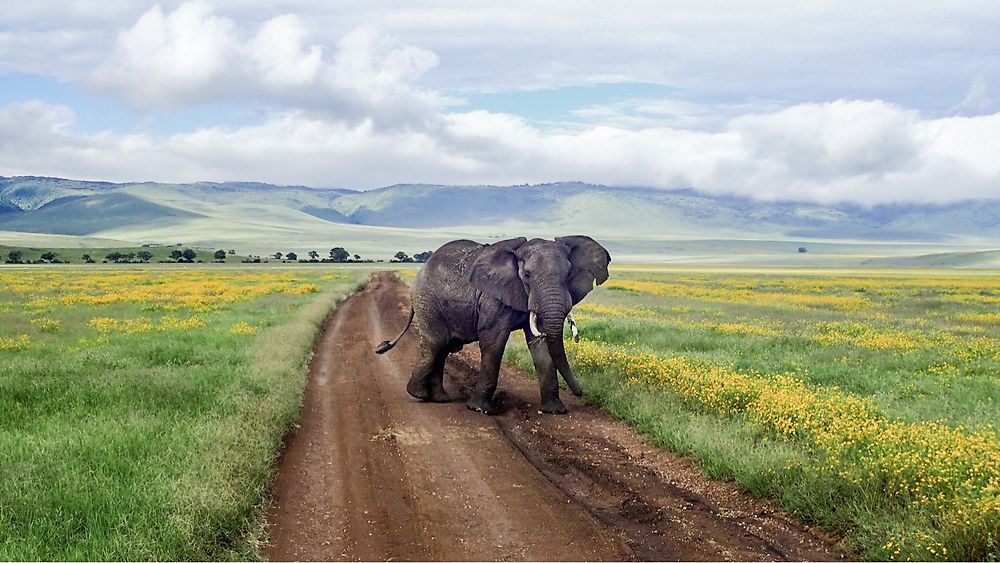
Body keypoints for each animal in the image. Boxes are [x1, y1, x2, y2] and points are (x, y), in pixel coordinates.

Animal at [376, 234, 608, 414]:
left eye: (569, 274)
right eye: (527, 275)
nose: (581, 393)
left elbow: (541, 344)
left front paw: (555, 411)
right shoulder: (492, 298)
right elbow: (494, 341)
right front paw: (478, 409)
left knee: (442, 348)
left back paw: (439, 398)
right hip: (428, 302)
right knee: (436, 344)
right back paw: (418, 394)